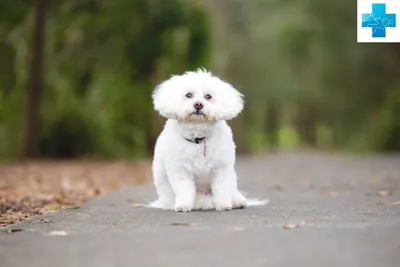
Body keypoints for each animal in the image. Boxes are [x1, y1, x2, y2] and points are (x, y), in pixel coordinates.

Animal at [146, 69, 266, 214]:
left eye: (208, 96)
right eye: (188, 95)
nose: (198, 104)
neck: (198, 138)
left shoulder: (221, 168)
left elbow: (222, 188)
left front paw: (224, 204)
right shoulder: (180, 169)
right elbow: (184, 189)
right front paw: (183, 205)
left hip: (232, 176)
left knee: (231, 190)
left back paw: (236, 200)